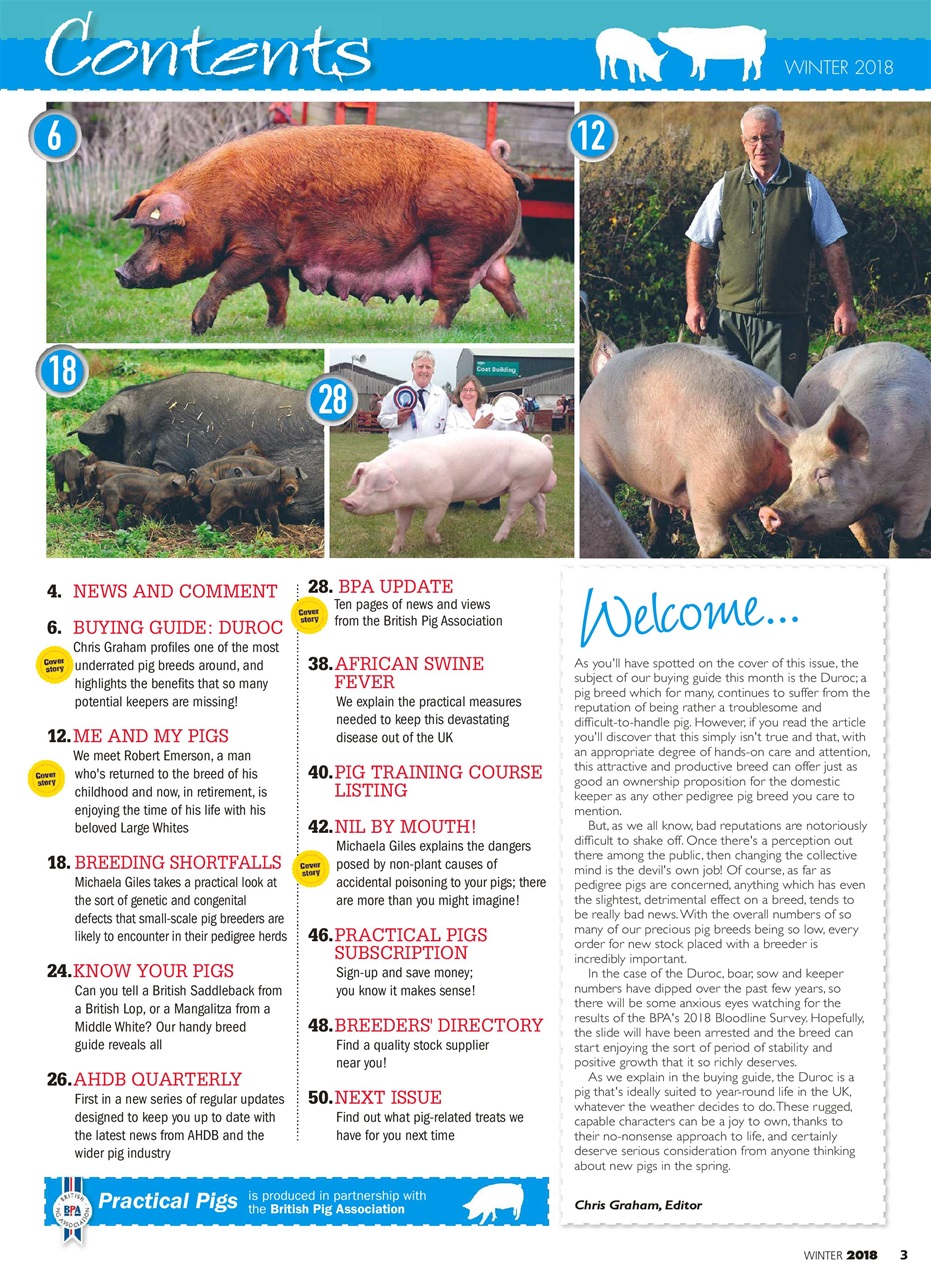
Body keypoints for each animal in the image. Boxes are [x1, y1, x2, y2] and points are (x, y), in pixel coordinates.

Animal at [112, 126, 532, 334]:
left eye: (161, 232)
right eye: (144, 231)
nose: (119, 271)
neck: (216, 207)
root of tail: (495, 163)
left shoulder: (257, 248)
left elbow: (222, 279)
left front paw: (198, 328)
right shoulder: (276, 256)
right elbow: (277, 294)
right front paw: (273, 330)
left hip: (455, 240)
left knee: (455, 296)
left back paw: (432, 331)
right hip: (484, 251)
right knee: (502, 282)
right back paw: (522, 321)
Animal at [341, 432, 558, 555]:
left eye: (373, 486)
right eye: (360, 482)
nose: (345, 501)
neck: (407, 481)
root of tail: (543, 445)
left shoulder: (441, 500)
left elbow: (428, 526)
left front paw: (438, 541)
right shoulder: (404, 505)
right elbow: (401, 527)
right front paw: (392, 551)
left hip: (524, 484)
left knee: (514, 512)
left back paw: (497, 540)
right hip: (531, 486)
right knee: (541, 502)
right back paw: (540, 534)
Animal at [580, 338, 805, 558]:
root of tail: (774, 406)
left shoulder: (593, 460)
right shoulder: (658, 478)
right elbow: (658, 513)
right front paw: (654, 546)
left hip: (710, 484)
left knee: (715, 540)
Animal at [756, 342, 931, 558]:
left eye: (823, 474)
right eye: (794, 472)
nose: (767, 511)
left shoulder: (919, 496)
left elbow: (901, 546)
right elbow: (868, 539)